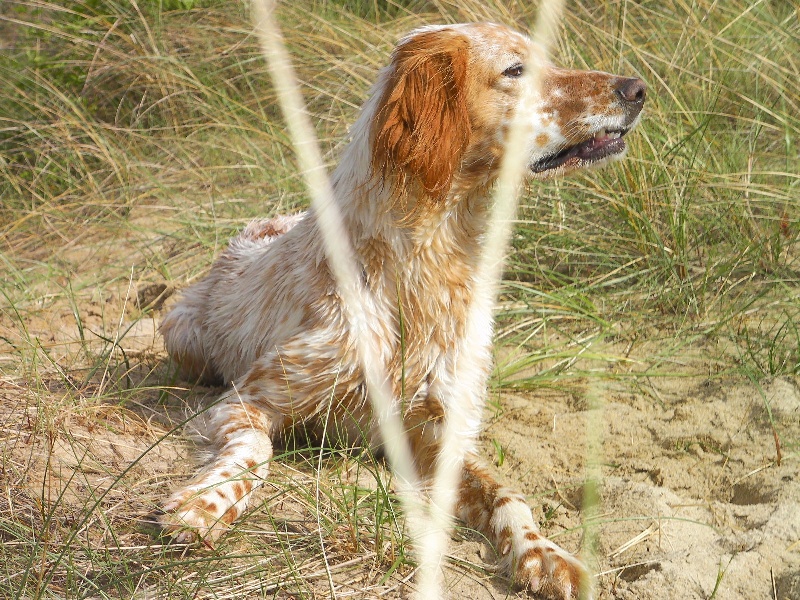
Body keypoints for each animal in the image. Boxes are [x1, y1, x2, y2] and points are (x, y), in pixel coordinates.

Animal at [159, 23, 648, 600]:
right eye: (515, 70)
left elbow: (508, 494)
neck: (426, 266)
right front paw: (203, 505)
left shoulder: (440, 433)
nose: (638, 88)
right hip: (180, 331)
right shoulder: (247, 399)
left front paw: (545, 554)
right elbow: (254, 453)